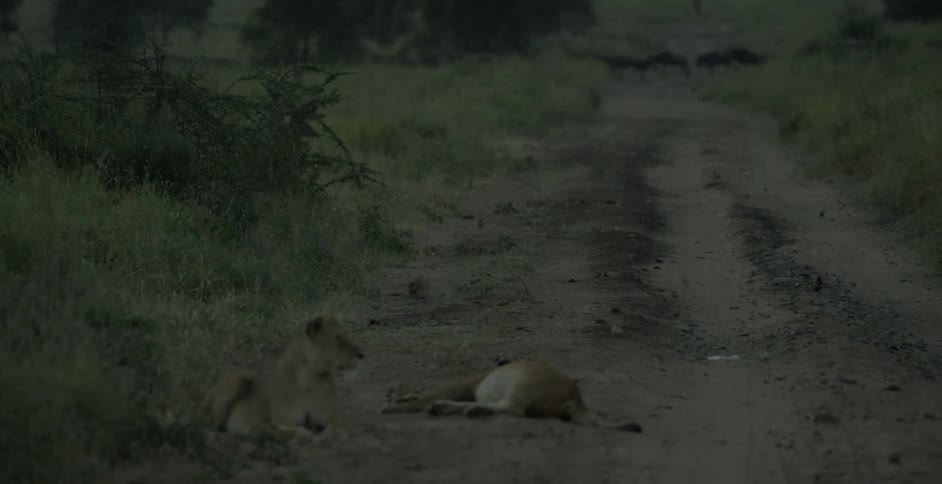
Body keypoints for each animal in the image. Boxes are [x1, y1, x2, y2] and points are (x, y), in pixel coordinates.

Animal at [201, 315, 364, 442]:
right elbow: (294, 431)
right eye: (339, 339)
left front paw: (324, 437)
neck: (308, 378)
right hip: (238, 377)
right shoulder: (281, 419)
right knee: (211, 424)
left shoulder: (332, 416)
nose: (362, 354)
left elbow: (339, 428)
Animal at [379, 359, 640, 432]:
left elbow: (424, 396)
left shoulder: (465, 383)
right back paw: (446, 408)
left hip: (522, 385)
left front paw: (393, 407)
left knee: (512, 409)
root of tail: (576, 399)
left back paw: (468, 410)